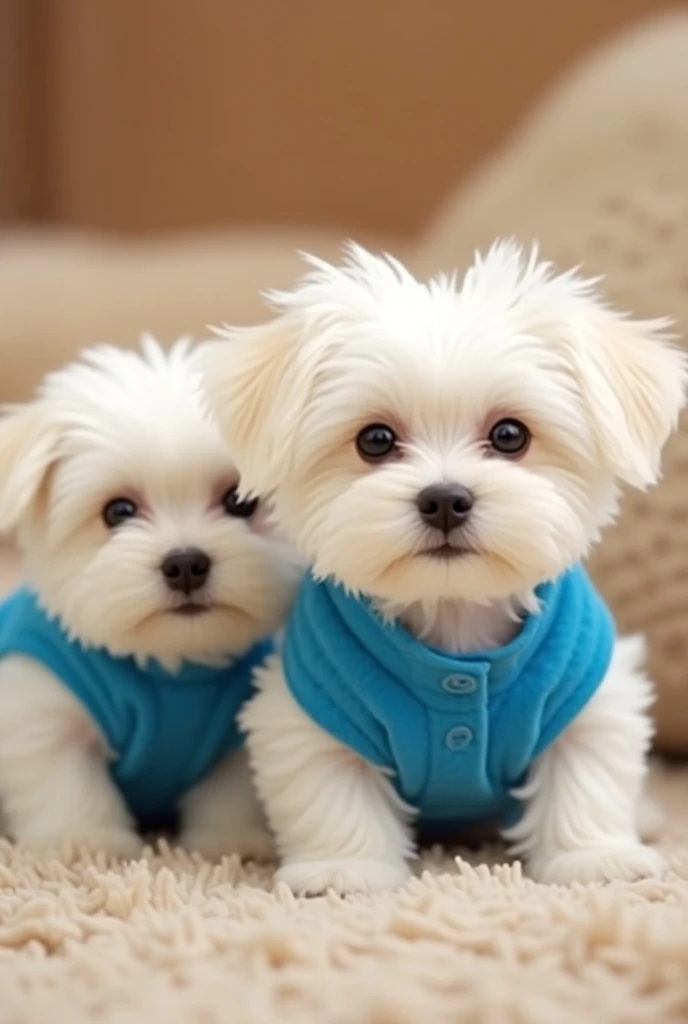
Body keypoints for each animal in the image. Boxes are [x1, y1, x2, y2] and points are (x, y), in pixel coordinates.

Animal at [0, 335, 298, 856]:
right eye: (117, 511)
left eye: (239, 501)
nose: (186, 564)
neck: (170, 664)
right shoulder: (41, 707)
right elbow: (64, 779)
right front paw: (84, 839)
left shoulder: (234, 729)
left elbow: (230, 791)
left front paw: (232, 841)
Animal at [205, 243, 688, 892]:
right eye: (375, 440)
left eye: (510, 435)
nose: (444, 500)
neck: (455, 618)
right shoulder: (309, 705)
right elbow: (331, 789)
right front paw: (342, 869)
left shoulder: (588, 693)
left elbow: (586, 772)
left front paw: (596, 857)